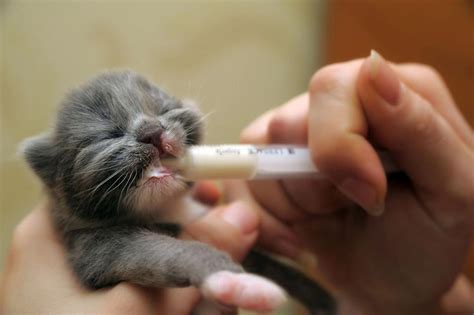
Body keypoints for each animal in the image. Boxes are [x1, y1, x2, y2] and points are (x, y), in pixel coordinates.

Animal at [21, 70, 334, 314]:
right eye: (108, 135)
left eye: (163, 111)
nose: (152, 132)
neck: (166, 208)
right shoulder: (92, 251)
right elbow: (162, 252)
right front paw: (233, 281)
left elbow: (267, 262)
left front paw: (318, 295)